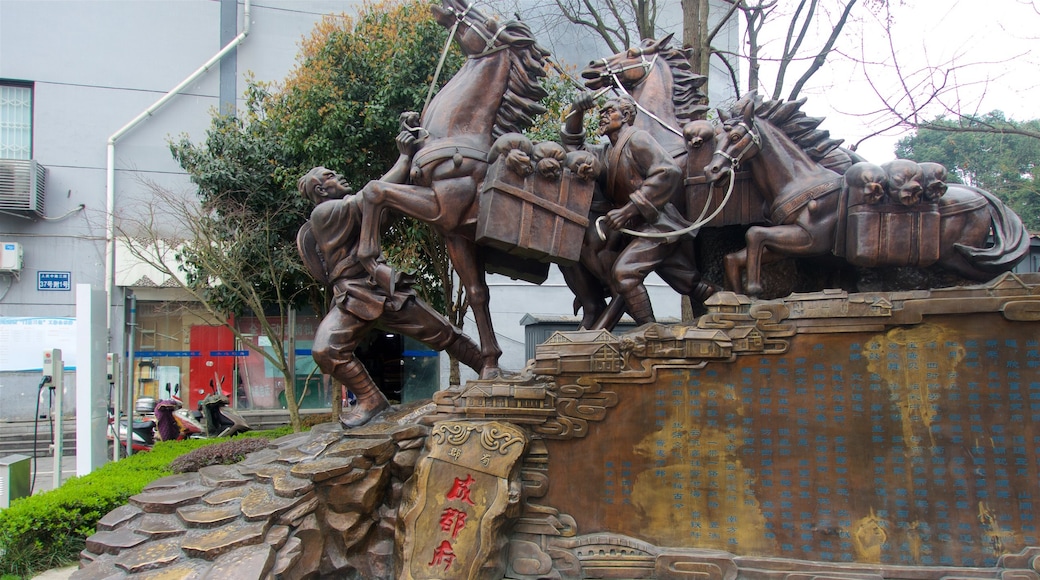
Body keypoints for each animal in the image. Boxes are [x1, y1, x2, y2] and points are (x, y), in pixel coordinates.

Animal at [355, 0, 553, 382]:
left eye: (487, 20)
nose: (452, 5)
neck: (460, 133)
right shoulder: (456, 235)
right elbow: (478, 294)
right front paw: (491, 366)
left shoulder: (441, 208)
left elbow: (375, 190)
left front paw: (377, 265)